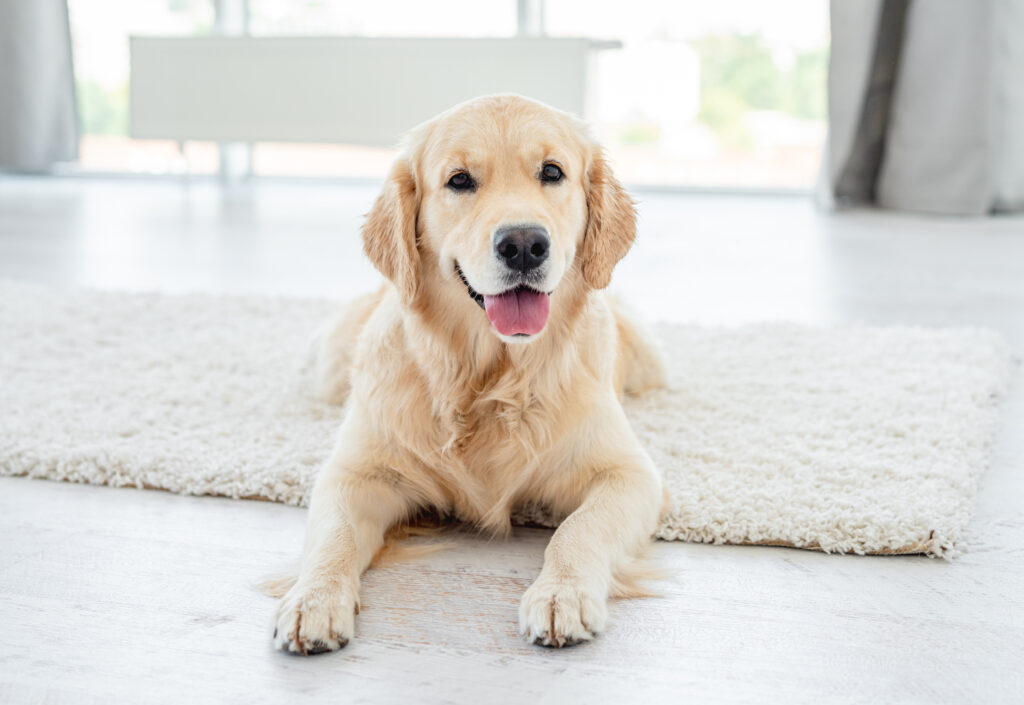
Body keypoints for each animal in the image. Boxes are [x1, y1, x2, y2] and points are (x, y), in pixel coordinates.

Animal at [272, 94, 667, 655]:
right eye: (459, 180)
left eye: (552, 172)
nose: (523, 244)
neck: (489, 377)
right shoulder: (356, 474)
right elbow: (334, 536)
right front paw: (314, 600)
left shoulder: (629, 475)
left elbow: (579, 528)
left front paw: (561, 594)